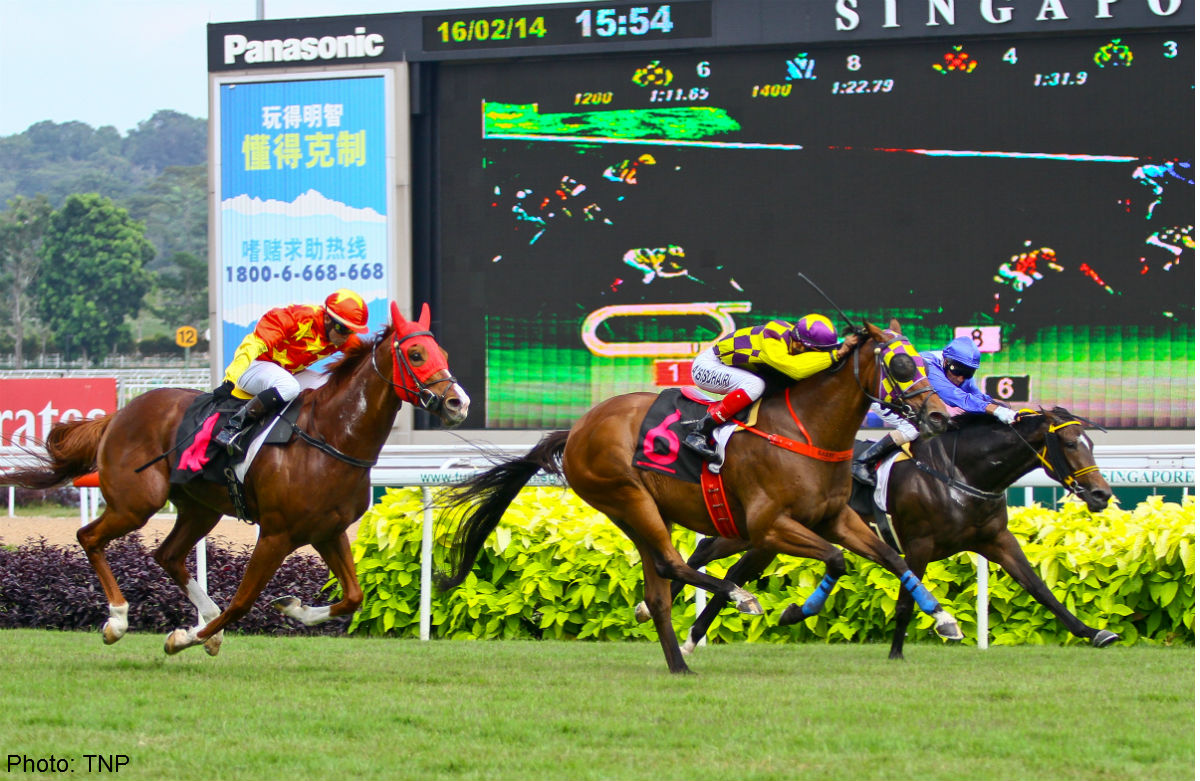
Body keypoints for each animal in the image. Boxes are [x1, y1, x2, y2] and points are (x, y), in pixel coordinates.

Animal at [1, 302, 468, 655]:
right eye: (417, 355)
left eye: (444, 353)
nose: (457, 402)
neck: (331, 436)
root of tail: (120, 413)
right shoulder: (277, 533)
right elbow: (243, 601)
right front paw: (183, 638)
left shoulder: (328, 531)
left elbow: (353, 596)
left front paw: (291, 608)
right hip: (137, 501)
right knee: (89, 537)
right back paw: (118, 620)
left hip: (199, 508)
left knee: (167, 555)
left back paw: (203, 619)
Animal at [437, 321, 957, 673]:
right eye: (902, 364)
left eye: (922, 361)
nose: (938, 415)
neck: (806, 429)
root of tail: (578, 427)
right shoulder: (771, 526)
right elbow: (836, 559)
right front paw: (796, 610)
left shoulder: (834, 518)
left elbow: (893, 558)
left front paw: (943, 618)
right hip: (628, 499)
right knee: (671, 565)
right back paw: (740, 599)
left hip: (646, 512)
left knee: (660, 586)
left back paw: (679, 664)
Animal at [654, 406, 1116, 659]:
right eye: (1071, 444)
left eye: (1091, 443)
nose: (1101, 494)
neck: (959, 472)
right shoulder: (919, 543)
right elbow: (906, 601)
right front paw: (899, 650)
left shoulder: (995, 540)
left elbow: (1039, 587)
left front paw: (1095, 633)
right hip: (762, 532)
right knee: (711, 560)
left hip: (757, 536)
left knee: (721, 565)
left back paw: (676, 624)